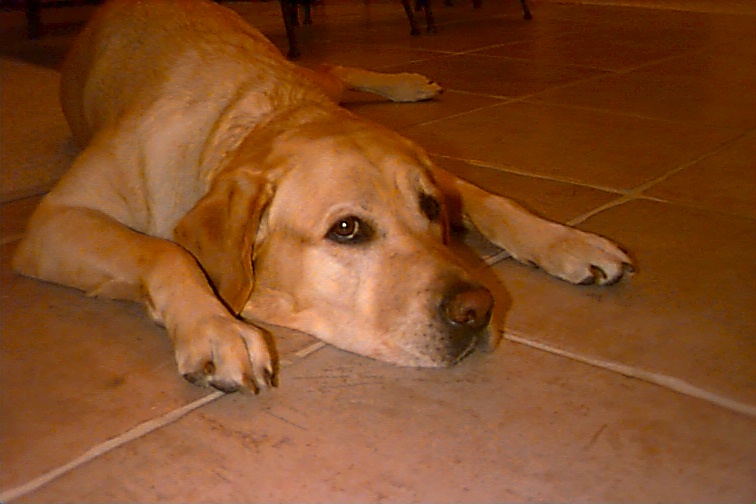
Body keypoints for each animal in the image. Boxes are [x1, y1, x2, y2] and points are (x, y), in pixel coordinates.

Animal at [13, 0, 632, 394]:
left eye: (430, 209)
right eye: (347, 229)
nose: (478, 310)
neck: (250, 114)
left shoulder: (441, 174)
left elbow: (494, 200)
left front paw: (570, 242)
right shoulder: (52, 221)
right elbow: (165, 251)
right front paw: (216, 329)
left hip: (310, 71)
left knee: (334, 65)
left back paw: (410, 83)